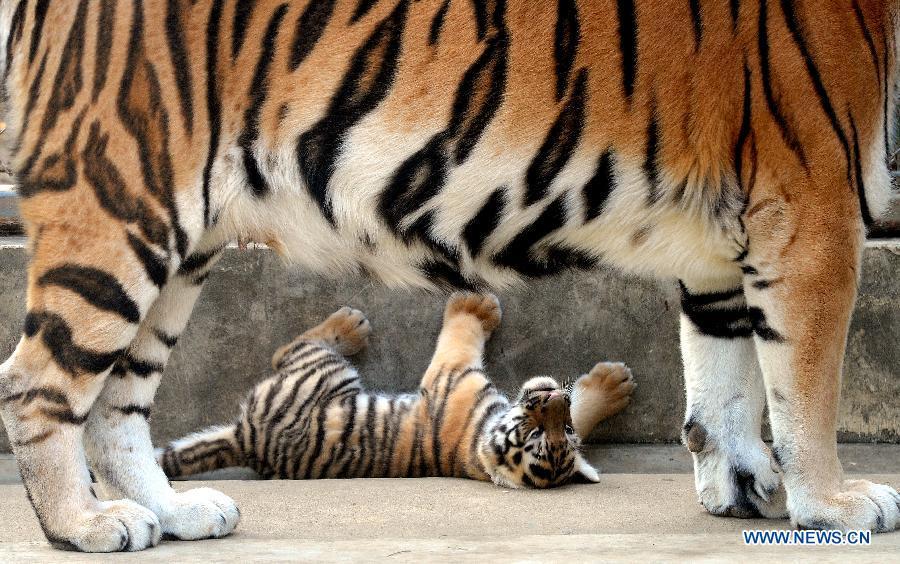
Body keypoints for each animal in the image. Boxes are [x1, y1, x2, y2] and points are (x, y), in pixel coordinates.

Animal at [156, 292, 635, 487]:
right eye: (541, 432)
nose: (552, 397)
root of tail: (246, 440)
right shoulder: (457, 377)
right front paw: (615, 384)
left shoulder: (452, 375)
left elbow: (461, 332)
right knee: (284, 349)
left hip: (322, 377)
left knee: (287, 350)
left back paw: (350, 324)